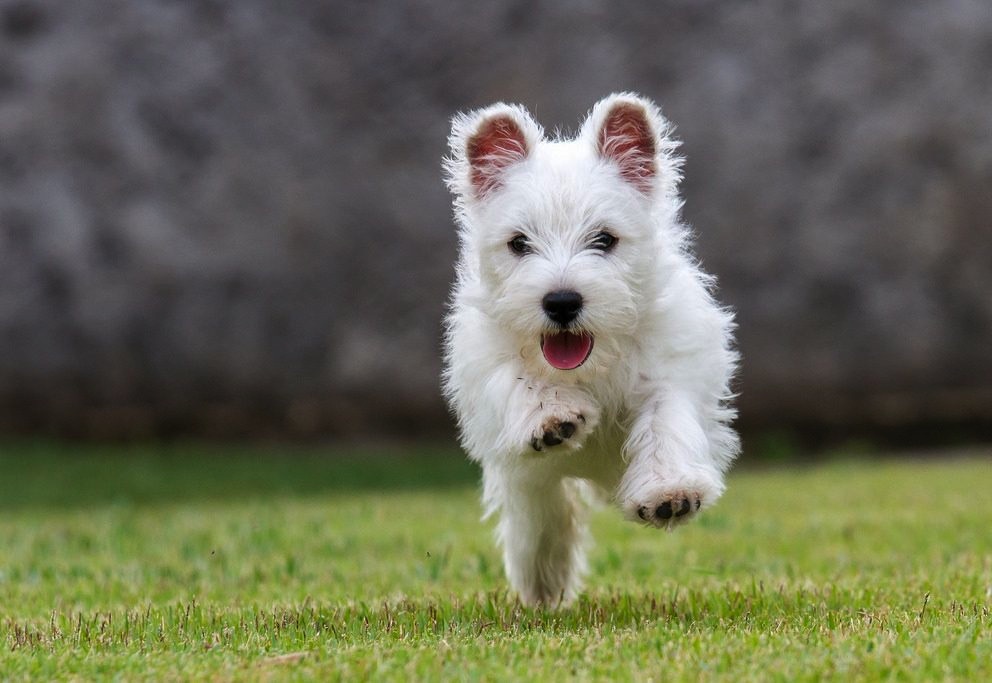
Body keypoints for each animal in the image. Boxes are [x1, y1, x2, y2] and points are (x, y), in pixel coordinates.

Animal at [442, 93, 736, 608]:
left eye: (604, 239)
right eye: (519, 243)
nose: (561, 302)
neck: (594, 361)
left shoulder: (671, 366)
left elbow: (665, 420)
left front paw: (669, 491)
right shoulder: (485, 360)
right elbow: (517, 378)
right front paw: (551, 416)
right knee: (538, 509)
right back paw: (542, 577)